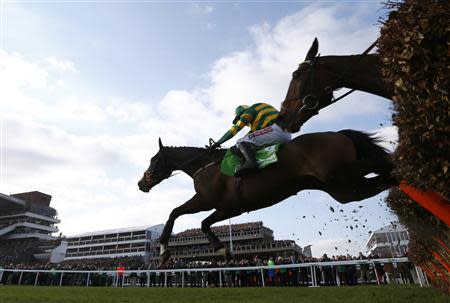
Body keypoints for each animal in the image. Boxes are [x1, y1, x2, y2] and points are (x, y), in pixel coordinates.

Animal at [136, 129, 394, 264]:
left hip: (343, 171)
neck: (205, 166)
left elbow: (191, 219)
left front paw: (165, 250)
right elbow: (184, 215)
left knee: (387, 162)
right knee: (383, 178)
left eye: (153, 160)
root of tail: (339, 134)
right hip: (345, 188)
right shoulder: (218, 205)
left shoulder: (218, 204)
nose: (141, 183)